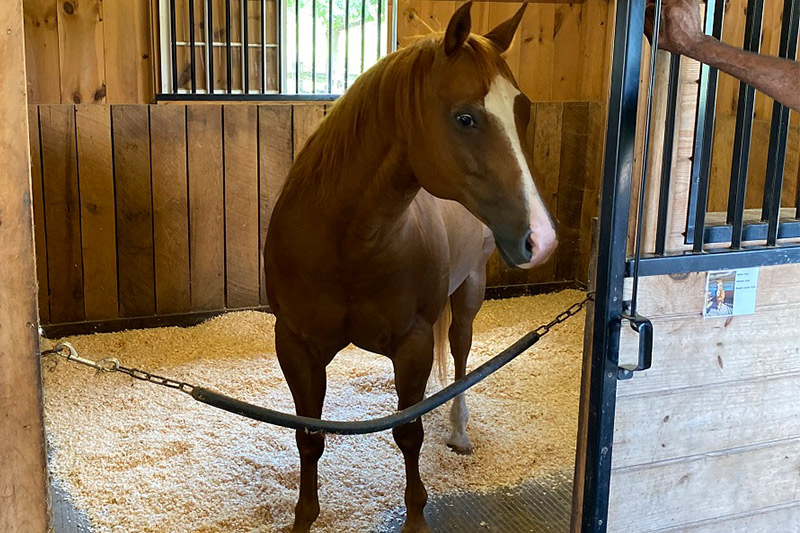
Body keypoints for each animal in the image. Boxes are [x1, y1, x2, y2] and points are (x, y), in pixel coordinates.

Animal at [264, 2, 556, 531]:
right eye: (465, 118)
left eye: (521, 111)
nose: (541, 239)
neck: (347, 243)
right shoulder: (296, 345)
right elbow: (308, 436)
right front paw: (304, 516)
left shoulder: (414, 343)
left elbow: (409, 433)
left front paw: (416, 515)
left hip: (469, 291)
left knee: (459, 356)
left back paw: (459, 431)